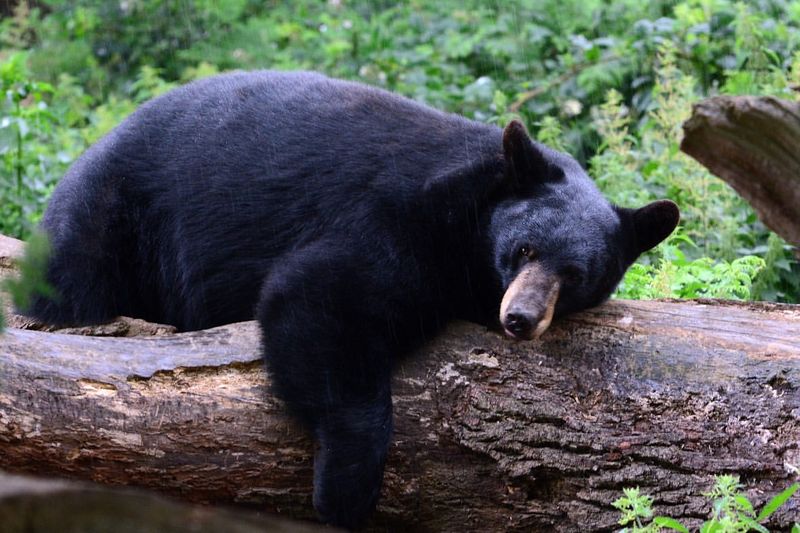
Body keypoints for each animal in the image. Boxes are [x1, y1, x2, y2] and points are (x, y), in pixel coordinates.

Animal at [28, 70, 680, 528]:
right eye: (523, 249)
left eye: (575, 275)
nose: (519, 319)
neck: (471, 212)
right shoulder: (398, 216)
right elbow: (320, 295)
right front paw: (345, 489)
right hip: (114, 214)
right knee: (75, 279)